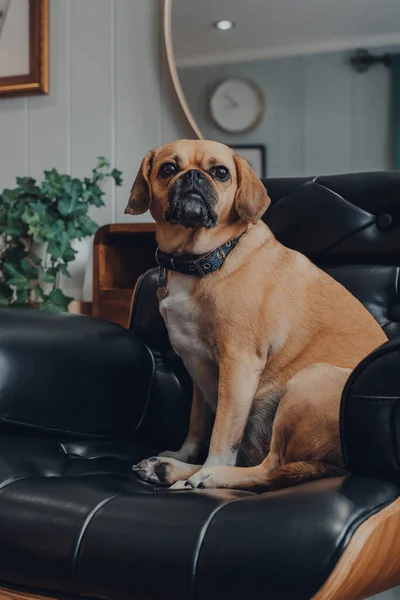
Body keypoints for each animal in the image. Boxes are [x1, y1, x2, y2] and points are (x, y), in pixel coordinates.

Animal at [126, 142, 388, 492]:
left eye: (220, 172)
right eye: (168, 169)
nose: (193, 176)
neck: (208, 258)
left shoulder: (238, 364)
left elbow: (221, 436)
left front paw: (206, 469)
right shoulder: (198, 367)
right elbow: (197, 426)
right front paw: (182, 456)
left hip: (309, 380)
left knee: (269, 468)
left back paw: (206, 476)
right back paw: (168, 468)